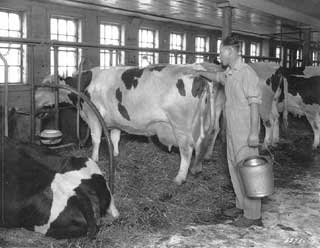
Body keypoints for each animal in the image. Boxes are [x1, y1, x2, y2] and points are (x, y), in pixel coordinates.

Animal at [36, 64, 224, 184]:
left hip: (181, 127)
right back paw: (197, 168)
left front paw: (94, 158)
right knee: (202, 142)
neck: (85, 84)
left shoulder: (94, 116)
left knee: (187, 150)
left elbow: (96, 139)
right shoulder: (115, 121)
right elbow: (115, 138)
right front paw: (116, 154)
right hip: (201, 123)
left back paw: (180, 178)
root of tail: (198, 75)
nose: (35, 105)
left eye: (46, 86)